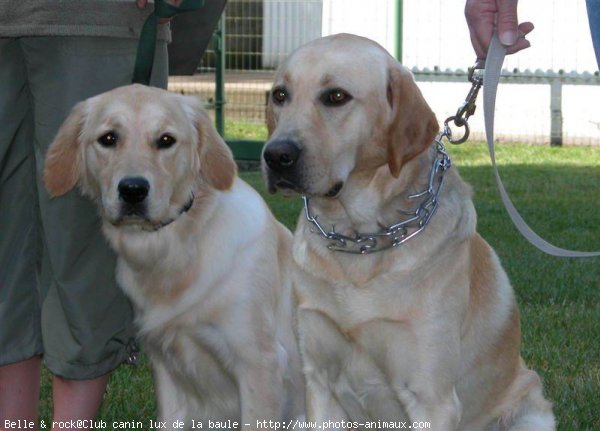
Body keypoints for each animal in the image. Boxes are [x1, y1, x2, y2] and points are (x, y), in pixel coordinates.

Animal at [264, 34, 556, 431]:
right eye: (280, 95)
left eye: (336, 96)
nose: (275, 155)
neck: (360, 242)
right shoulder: (319, 383)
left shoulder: (431, 398)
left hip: (530, 412)